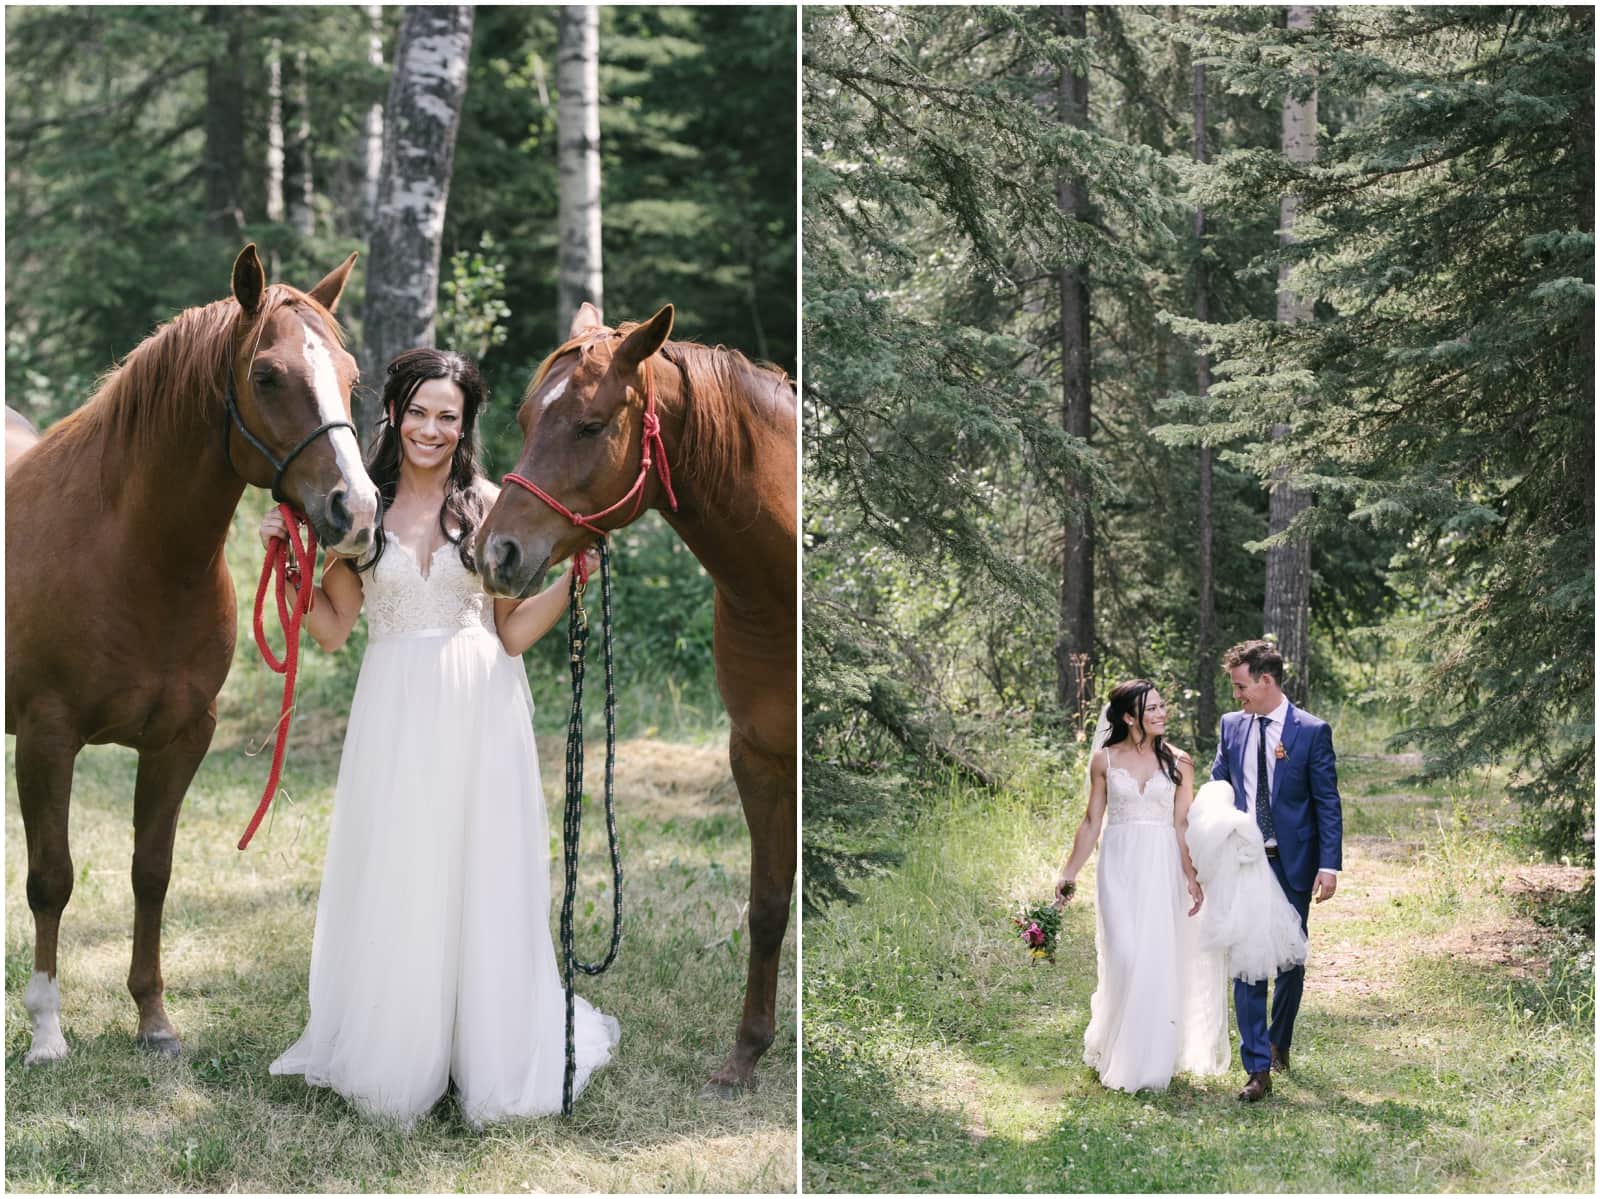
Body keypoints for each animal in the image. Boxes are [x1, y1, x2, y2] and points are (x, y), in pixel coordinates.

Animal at [7, 243, 380, 1056]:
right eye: (267, 375)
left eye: (350, 375)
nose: (359, 512)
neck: (135, 554)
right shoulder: (48, 737)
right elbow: (51, 876)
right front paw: (47, 1030)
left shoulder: (182, 737)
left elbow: (152, 870)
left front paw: (154, 1019)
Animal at [476, 300, 796, 1094]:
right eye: (524, 417)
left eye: (590, 426)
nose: (494, 553)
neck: (778, 591)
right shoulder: (758, 756)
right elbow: (767, 904)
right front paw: (746, 1054)